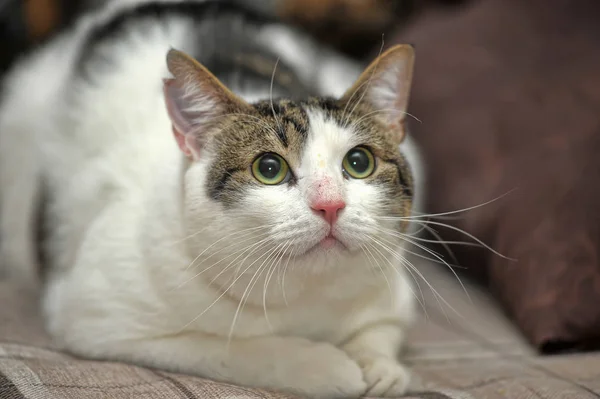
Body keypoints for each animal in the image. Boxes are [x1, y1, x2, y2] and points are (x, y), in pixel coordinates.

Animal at [0, 0, 422, 399]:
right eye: (269, 168)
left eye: (359, 162)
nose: (330, 204)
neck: (303, 298)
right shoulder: (94, 319)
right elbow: (230, 348)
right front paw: (326, 368)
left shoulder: (393, 294)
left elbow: (383, 329)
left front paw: (379, 367)